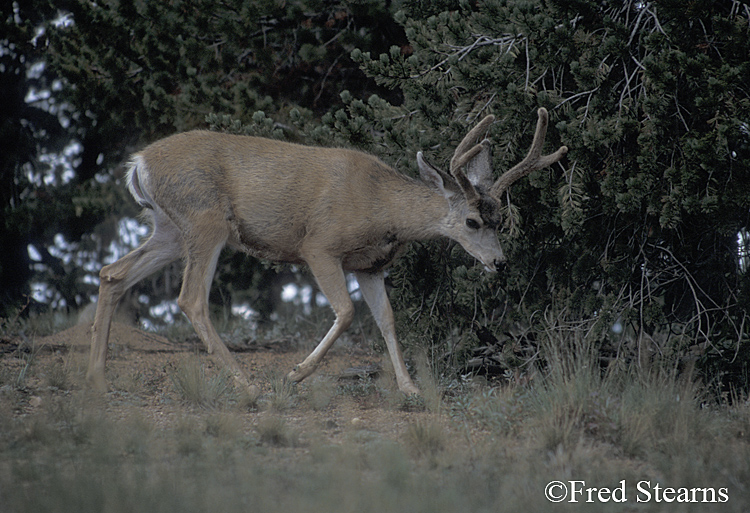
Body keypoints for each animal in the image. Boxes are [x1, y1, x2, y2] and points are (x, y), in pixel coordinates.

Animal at [86, 108, 568, 396]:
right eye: (471, 222)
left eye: (500, 219)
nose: (498, 262)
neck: (381, 207)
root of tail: (139, 164)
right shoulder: (319, 245)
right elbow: (348, 312)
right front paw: (296, 372)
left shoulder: (370, 266)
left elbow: (387, 319)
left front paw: (409, 388)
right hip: (205, 220)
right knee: (190, 298)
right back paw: (246, 383)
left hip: (170, 228)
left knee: (112, 273)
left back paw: (97, 375)